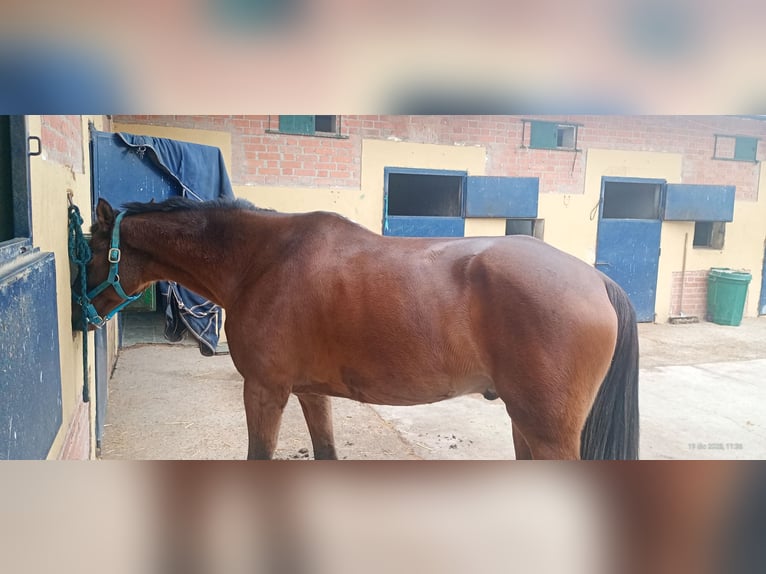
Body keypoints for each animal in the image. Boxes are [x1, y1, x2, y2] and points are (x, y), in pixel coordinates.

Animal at [80, 196, 639, 460]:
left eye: (90, 247)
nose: (80, 310)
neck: (263, 261)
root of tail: (595, 279)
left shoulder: (264, 390)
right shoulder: (308, 392)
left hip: (547, 430)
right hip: (524, 421)